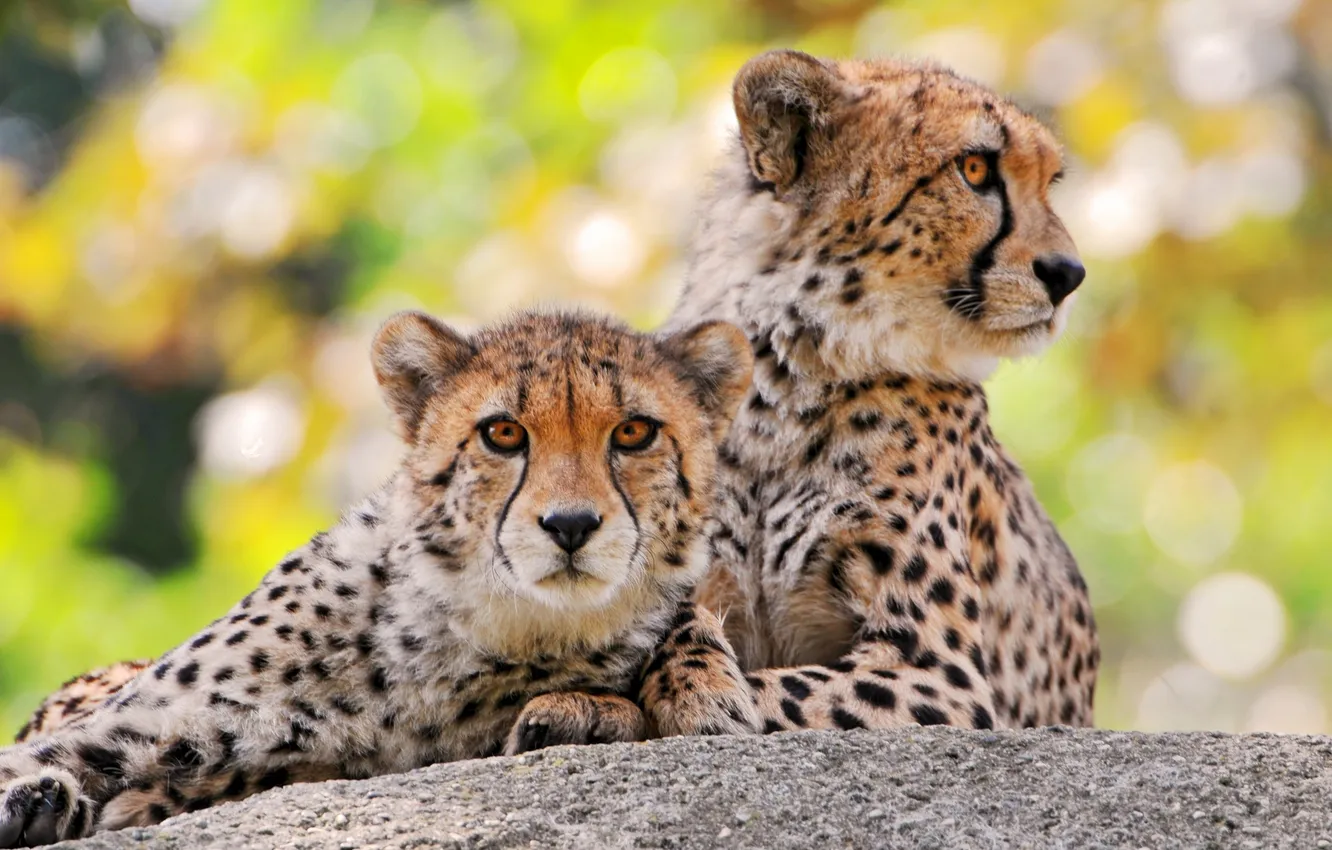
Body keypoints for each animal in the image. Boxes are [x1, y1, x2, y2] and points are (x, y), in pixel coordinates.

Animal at [639, 49, 1100, 736]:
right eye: (975, 169)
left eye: (1049, 182)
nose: (1069, 274)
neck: (789, 375)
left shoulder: (940, 674)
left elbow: (776, 692)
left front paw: (701, 697)